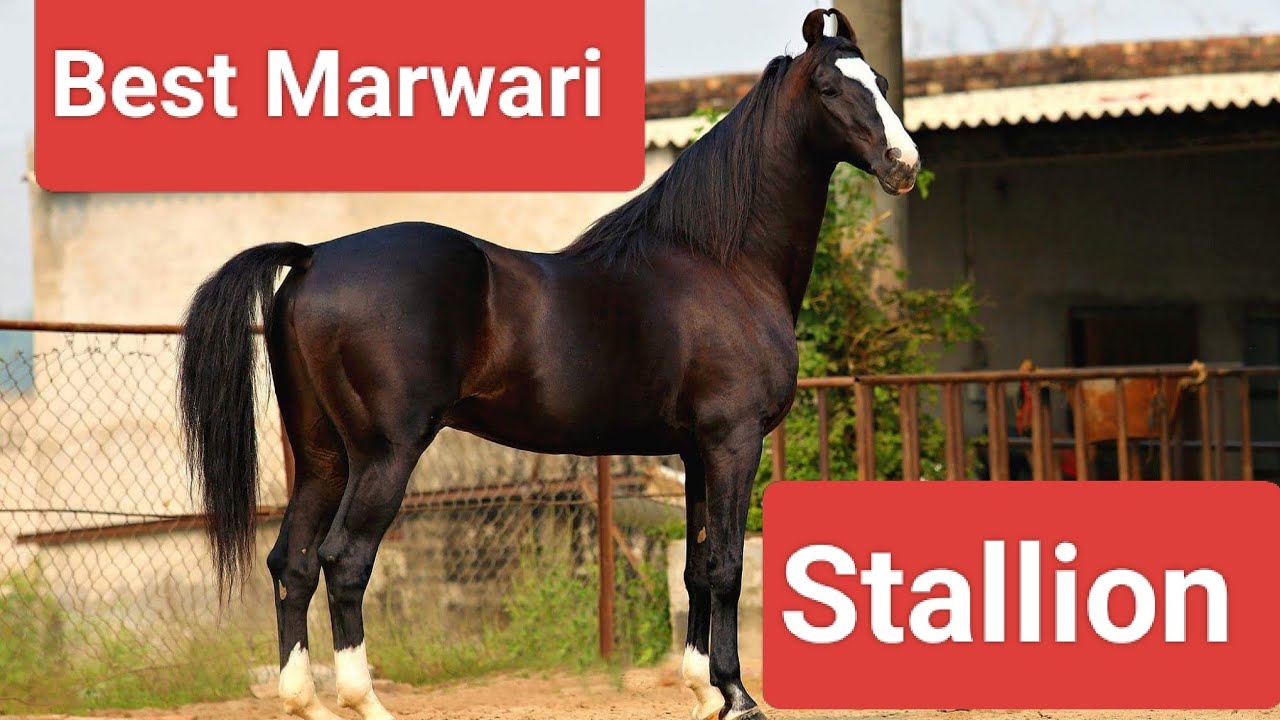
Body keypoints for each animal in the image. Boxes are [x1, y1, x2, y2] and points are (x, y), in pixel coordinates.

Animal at [177, 9, 919, 720]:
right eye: (829, 88)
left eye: (882, 81)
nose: (903, 162)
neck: (721, 261)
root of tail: (314, 258)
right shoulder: (732, 441)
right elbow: (728, 566)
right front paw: (738, 697)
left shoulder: (694, 450)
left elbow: (696, 568)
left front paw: (704, 692)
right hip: (384, 455)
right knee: (345, 561)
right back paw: (368, 702)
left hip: (324, 455)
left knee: (293, 563)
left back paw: (307, 702)